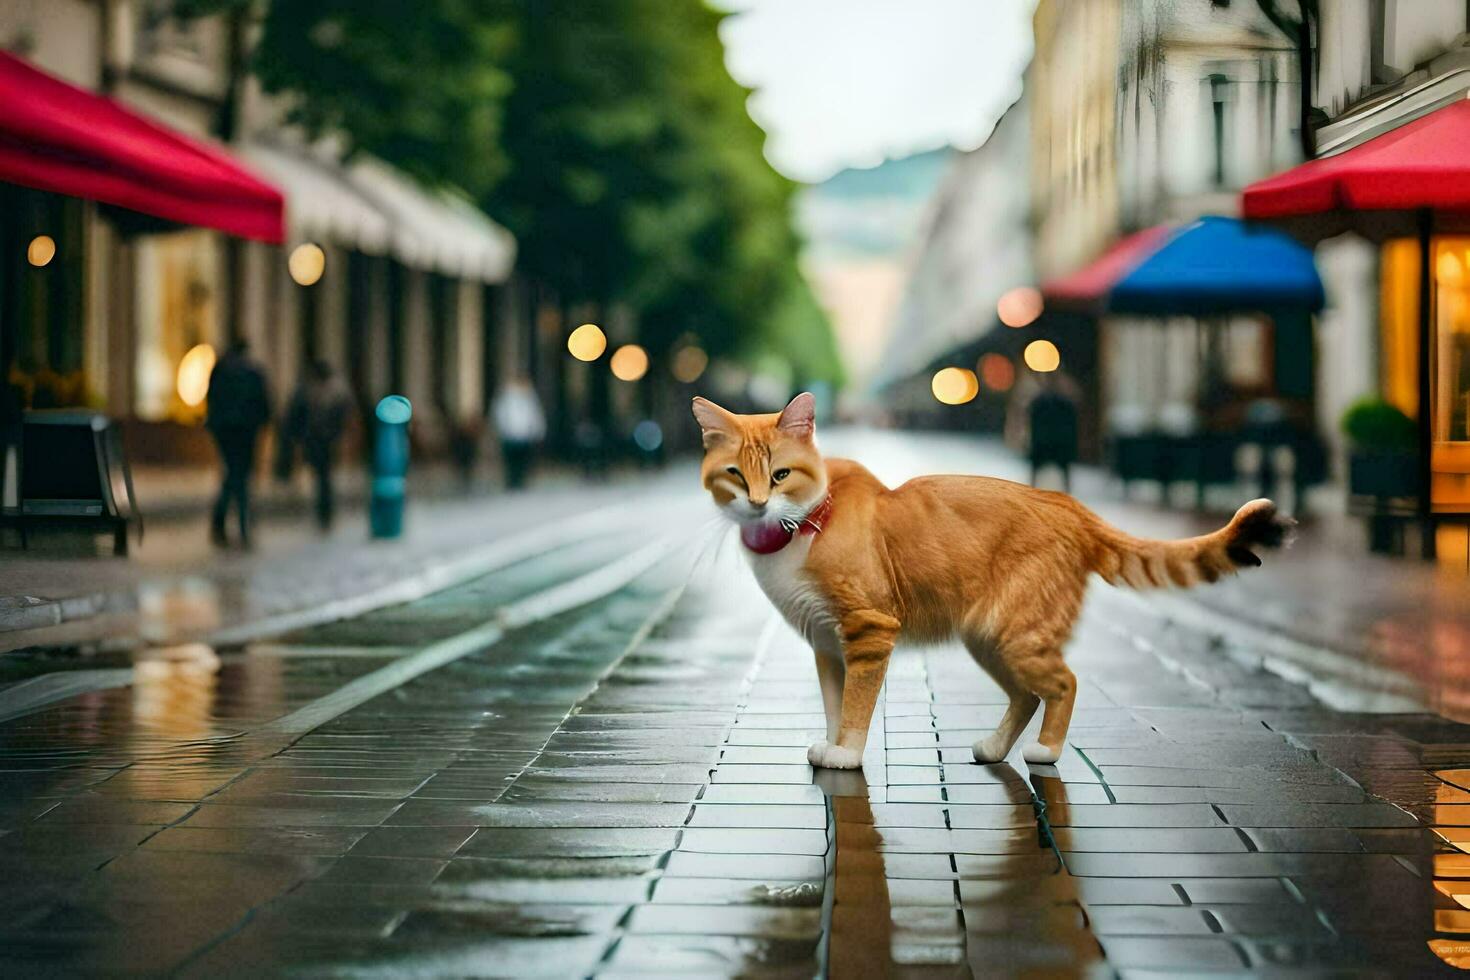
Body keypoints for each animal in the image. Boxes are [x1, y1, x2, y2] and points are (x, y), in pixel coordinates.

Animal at [693, 387, 1293, 764]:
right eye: (734, 475)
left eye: (780, 475)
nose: (757, 504)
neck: (802, 524)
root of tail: (1070, 506)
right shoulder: (826, 642)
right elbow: (834, 702)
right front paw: (831, 742)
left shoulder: (866, 630)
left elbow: (857, 705)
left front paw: (846, 753)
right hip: (989, 639)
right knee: (1026, 695)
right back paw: (995, 748)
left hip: (1017, 635)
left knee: (1064, 684)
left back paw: (1045, 752)